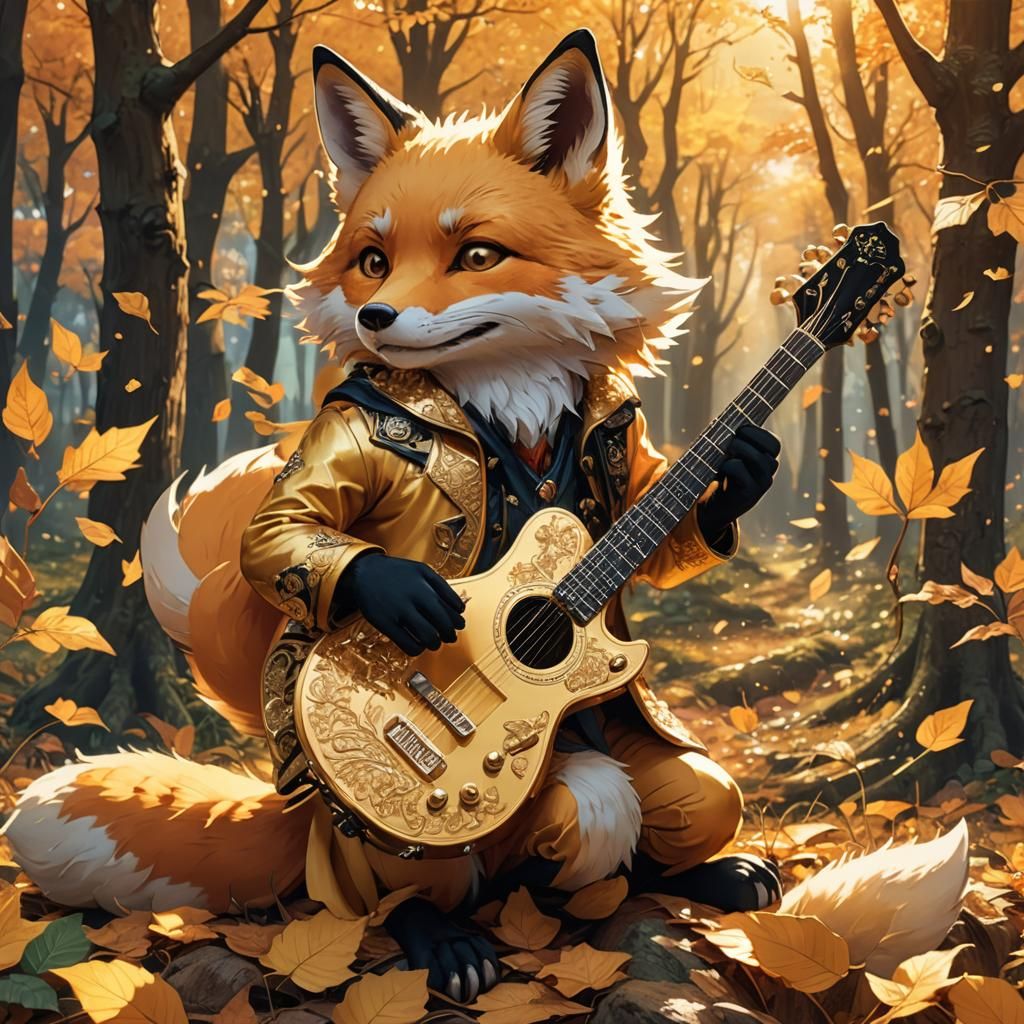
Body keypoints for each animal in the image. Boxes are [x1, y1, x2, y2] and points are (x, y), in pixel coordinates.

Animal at [4, 28, 968, 1006]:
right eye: (372, 260)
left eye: (477, 255)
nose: (375, 316)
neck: (508, 394)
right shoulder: (347, 429)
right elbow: (280, 531)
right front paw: (402, 591)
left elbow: (661, 524)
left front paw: (739, 471)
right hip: (386, 833)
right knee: (501, 839)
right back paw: (442, 937)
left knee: (702, 799)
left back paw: (703, 875)